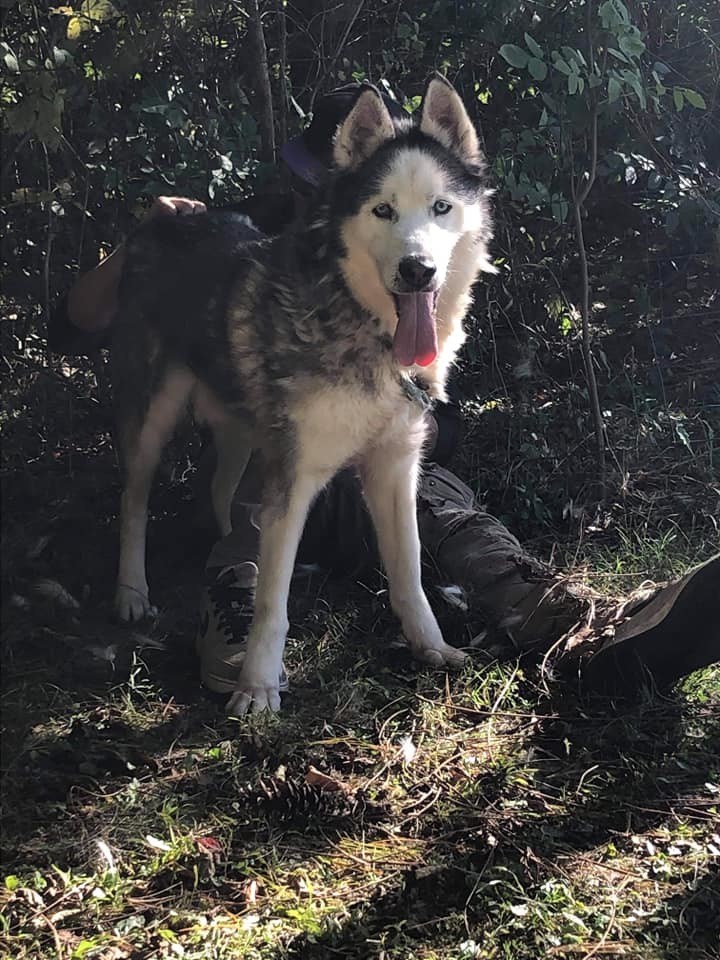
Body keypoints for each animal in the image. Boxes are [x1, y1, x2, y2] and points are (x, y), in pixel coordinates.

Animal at [112, 75, 496, 712]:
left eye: (441, 207)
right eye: (383, 210)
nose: (417, 269)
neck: (366, 327)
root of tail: (160, 224)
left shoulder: (395, 466)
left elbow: (410, 573)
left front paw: (431, 645)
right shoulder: (296, 475)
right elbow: (273, 600)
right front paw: (259, 685)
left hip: (245, 428)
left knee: (222, 489)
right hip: (152, 420)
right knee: (134, 502)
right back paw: (131, 591)